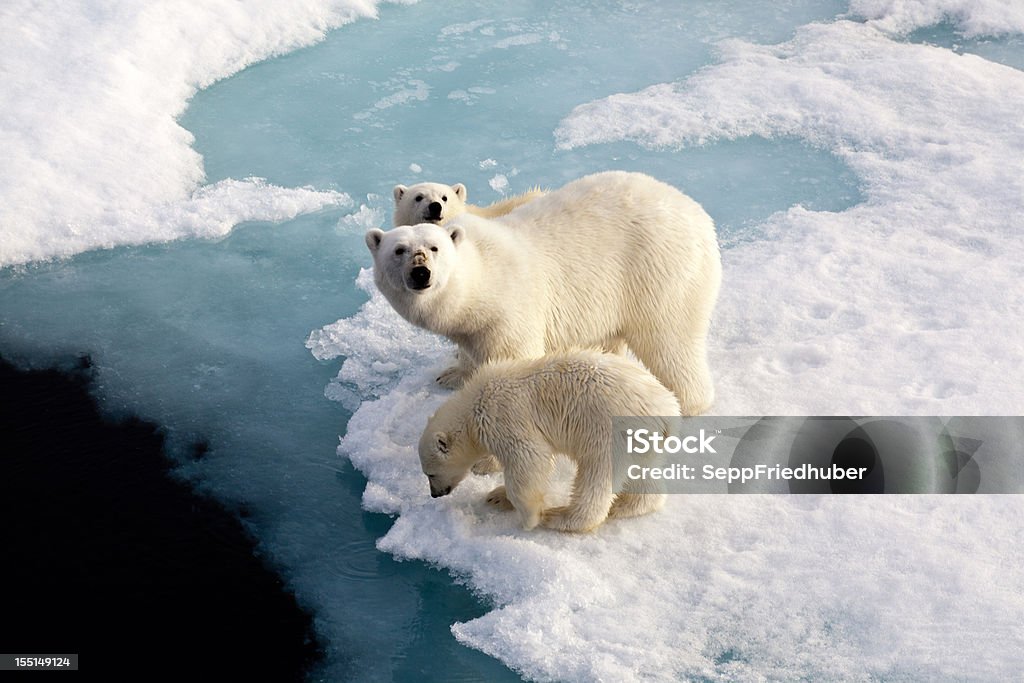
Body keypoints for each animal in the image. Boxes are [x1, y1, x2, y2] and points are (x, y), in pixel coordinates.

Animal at [419, 352, 675, 532]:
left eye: (430, 474)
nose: (435, 494)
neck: (473, 404)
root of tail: (668, 408)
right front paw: (497, 496)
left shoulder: (503, 417)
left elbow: (529, 461)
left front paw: (530, 518)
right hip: (641, 437)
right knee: (641, 471)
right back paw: (628, 506)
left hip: (611, 429)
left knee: (597, 475)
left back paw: (561, 517)